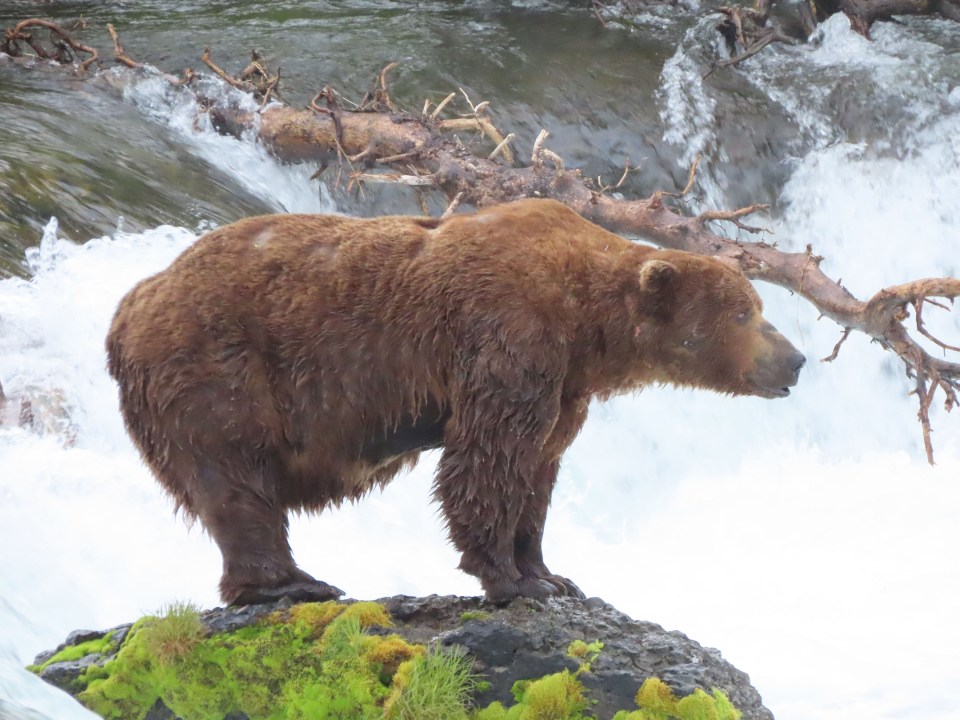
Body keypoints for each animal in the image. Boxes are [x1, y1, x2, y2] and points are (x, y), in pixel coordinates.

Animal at [105, 198, 804, 608]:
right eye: (744, 314)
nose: (795, 360)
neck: (587, 325)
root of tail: (130, 303)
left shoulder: (565, 387)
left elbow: (538, 470)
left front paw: (548, 572)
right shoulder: (509, 340)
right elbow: (487, 460)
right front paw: (508, 578)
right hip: (216, 368)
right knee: (236, 478)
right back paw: (292, 581)